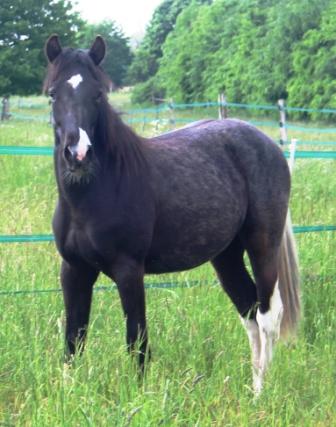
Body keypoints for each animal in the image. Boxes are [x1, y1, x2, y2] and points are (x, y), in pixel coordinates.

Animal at [44, 35, 300, 396]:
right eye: (53, 94)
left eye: (98, 94)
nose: (77, 154)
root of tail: (268, 145)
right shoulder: (74, 269)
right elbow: (74, 338)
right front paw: (70, 395)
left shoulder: (129, 270)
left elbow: (137, 340)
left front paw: (138, 396)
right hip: (226, 256)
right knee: (249, 311)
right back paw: (251, 388)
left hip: (263, 245)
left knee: (267, 316)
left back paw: (261, 395)